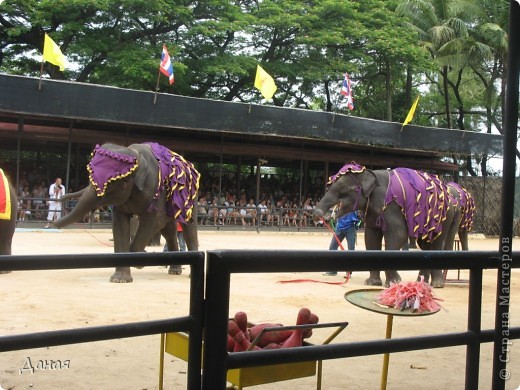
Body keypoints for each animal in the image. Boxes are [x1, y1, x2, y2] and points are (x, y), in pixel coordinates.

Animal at [52, 142, 199, 282]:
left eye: (123, 181)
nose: (51, 224)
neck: (135, 153)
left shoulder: (158, 190)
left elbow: (155, 219)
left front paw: (140, 260)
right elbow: (120, 224)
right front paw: (120, 279)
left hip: (190, 197)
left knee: (188, 228)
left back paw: (187, 272)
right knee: (168, 231)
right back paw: (174, 270)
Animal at [312, 161, 456, 286]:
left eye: (343, 189)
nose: (317, 214)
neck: (369, 174)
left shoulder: (391, 206)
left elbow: (398, 235)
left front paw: (394, 282)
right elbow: (371, 237)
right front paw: (372, 283)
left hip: (444, 216)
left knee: (436, 241)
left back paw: (436, 284)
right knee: (425, 244)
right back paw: (422, 282)